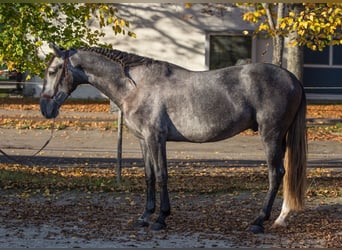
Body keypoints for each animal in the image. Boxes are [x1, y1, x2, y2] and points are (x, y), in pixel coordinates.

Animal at [40, 45, 308, 234]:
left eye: (52, 71)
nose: (45, 109)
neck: (136, 87)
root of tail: (291, 78)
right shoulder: (144, 140)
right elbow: (149, 176)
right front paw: (144, 217)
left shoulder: (155, 138)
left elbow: (161, 176)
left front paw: (160, 219)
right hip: (281, 138)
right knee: (284, 175)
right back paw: (281, 218)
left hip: (270, 135)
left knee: (276, 174)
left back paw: (259, 221)